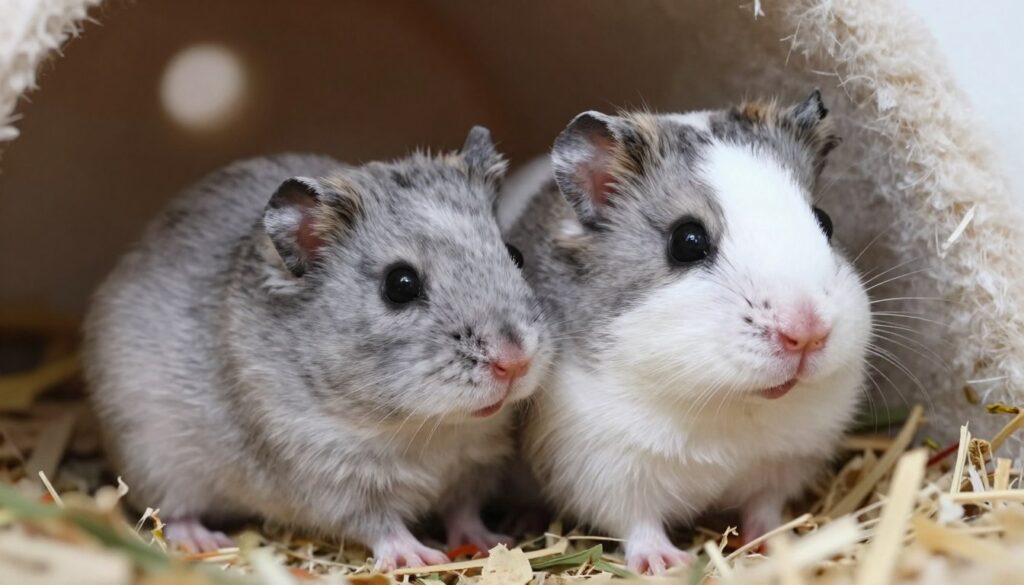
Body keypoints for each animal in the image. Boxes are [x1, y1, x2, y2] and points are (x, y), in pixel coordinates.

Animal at [83, 127, 552, 570]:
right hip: (156, 463)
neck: (426, 427)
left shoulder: (474, 466)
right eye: (400, 285)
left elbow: (464, 512)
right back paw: (204, 541)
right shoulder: (331, 481)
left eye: (514, 254)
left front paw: (493, 543)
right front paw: (421, 558)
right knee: (174, 513)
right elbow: (382, 525)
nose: (515, 362)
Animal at [508, 92, 871, 573]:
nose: (807, 333)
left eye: (825, 222)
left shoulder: (784, 464)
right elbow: (638, 524)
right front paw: (667, 564)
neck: (730, 401)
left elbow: (765, 510)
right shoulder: (604, 467)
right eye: (687, 241)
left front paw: (780, 543)